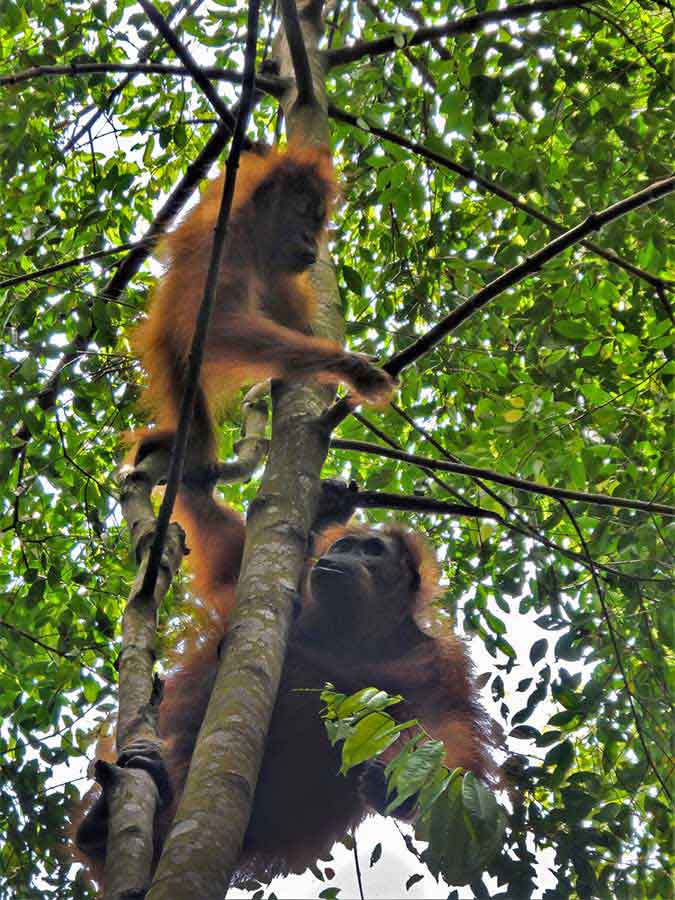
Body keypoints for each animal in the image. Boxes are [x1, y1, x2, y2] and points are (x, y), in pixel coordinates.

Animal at [73, 512, 492, 887]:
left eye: (371, 550)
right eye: (345, 546)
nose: (338, 556)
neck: (352, 636)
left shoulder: (437, 660)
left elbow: (445, 724)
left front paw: (400, 788)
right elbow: (230, 558)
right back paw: (109, 817)